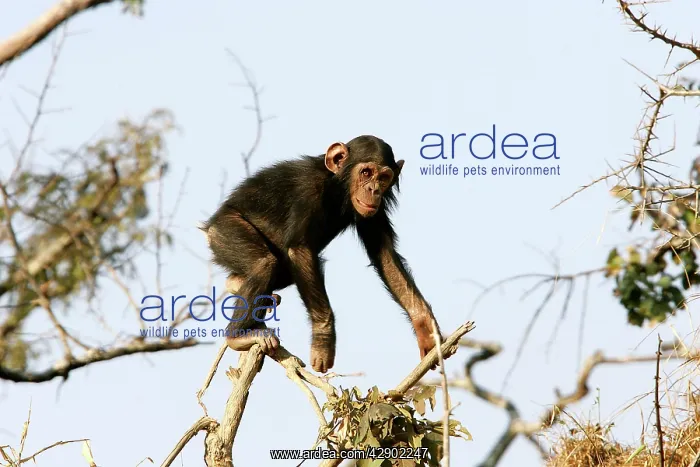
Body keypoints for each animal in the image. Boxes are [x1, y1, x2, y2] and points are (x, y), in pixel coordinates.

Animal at [200, 135, 441, 373]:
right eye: (366, 172)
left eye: (383, 177)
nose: (374, 189)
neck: (337, 186)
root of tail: (210, 226)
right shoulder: (308, 190)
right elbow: (300, 249)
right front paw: (323, 340)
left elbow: (385, 255)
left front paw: (426, 328)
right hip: (224, 232)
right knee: (264, 263)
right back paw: (238, 337)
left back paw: (236, 283)